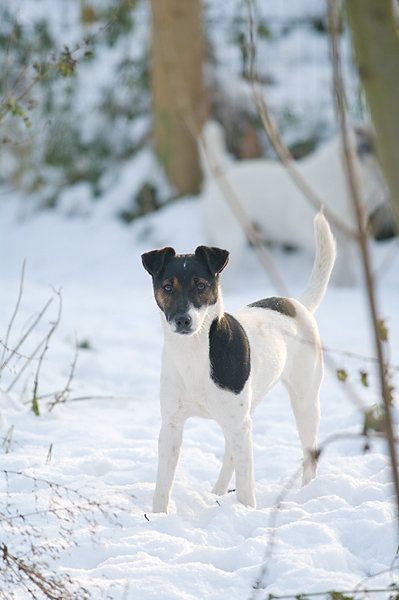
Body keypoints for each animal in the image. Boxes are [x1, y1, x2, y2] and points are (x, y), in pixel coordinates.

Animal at [142, 210, 336, 510]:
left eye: (201, 285)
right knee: (231, 455)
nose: (183, 320)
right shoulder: (172, 425)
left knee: (309, 455)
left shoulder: (238, 424)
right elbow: (162, 486)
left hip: (304, 402)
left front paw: (246, 512)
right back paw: (217, 494)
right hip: (243, 412)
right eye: (167, 287)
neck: (194, 353)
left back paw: (307, 492)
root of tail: (296, 304)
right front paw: (159, 516)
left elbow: (246, 485)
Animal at [200, 120, 388, 288]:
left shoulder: (348, 236)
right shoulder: (303, 228)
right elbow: (337, 261)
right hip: (232, 237)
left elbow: (346, 266)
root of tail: (218, 175)